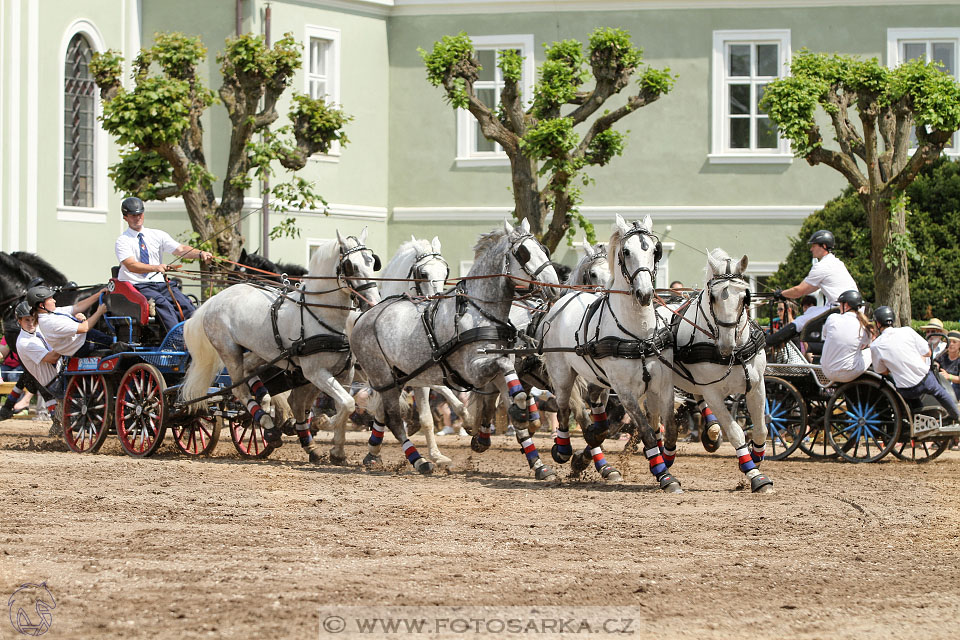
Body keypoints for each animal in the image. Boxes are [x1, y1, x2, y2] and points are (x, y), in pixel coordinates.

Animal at [178, 230, 380, 464]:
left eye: (372, 262)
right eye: (351, 266)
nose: (373, 301)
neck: (320, 312)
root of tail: (213, 300)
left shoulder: (345, 373)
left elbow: (345, 406)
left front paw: (337, 451)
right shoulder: (315, 372)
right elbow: (346, 405)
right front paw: (321, 423)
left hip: (262, 351)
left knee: (250, 370)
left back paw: (269, 409)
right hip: (229, 351)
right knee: (239, 388)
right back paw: (267, 424)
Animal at [540, 216, 676, 490]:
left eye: (654, 251)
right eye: (626, 251)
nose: (644, 293)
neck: (639, 334)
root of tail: (563, 301)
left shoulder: (663, 385)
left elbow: (668, 429)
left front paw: (665, 463)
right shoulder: (624, 391)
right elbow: (647, 431)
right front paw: (664, 475)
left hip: (598, 378)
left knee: (595, 408)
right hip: (561, 373)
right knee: (564, 408)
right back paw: (563, 450)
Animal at [660, 248, 772, 492]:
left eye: (745, 296)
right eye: (712, 297)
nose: (726, 346)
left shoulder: (756, 386)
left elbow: (761, 429)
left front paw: (755, 458)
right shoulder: (713, 393)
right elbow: (736, 432)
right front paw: (754, 475)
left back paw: (710, 432)